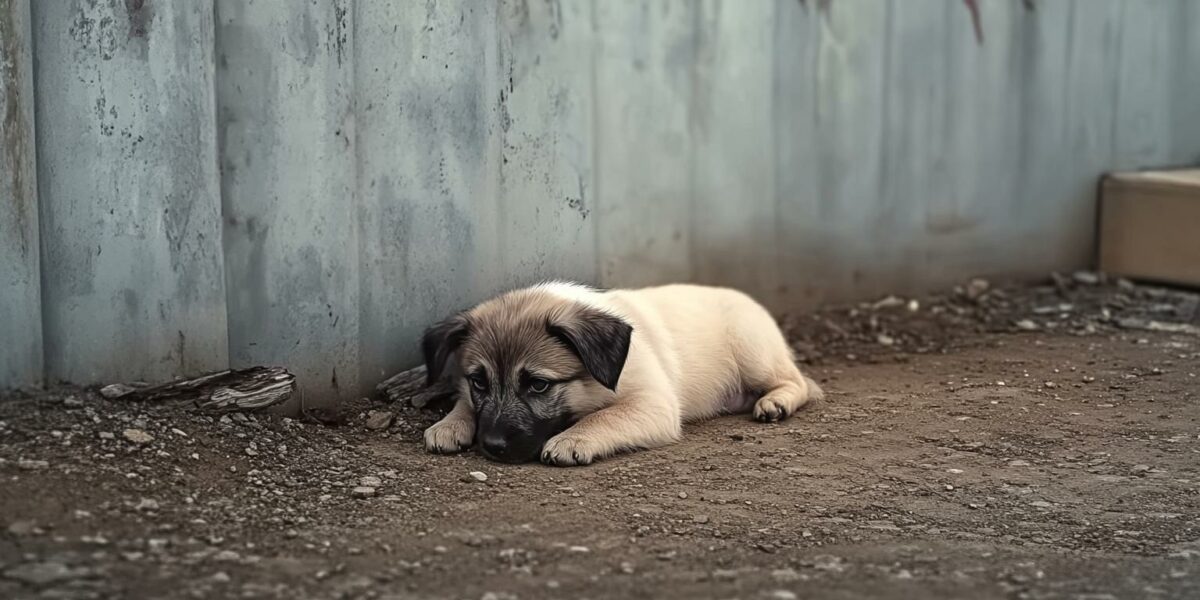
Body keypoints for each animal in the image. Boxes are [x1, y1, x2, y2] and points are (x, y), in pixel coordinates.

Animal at [417, 279, 820, 463]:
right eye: (479, 382)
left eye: (538, 385)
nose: (492, 446)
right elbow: (464, 403)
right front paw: (450, 424)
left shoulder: (652, 404)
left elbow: (603, 417)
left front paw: (573, 439)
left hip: (754, 352)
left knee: (801, 382)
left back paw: (775, 403)